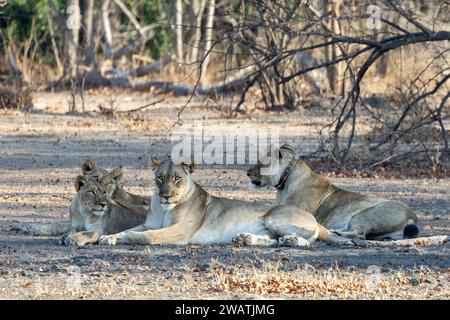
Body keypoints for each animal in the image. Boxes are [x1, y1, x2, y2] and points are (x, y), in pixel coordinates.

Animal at [99, 156, 356, 246]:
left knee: (310, 240)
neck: (164, 209)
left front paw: (128, 238)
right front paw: (108, 237)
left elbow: (148, 236)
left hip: (274, 217)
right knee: (273, 240)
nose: (165, 195)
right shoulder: (149, 223)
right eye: (160, 178)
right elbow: (131, 229)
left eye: (177, 178)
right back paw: (245, 239)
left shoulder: (181, 231)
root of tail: (313, 217)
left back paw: (292, 241)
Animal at [246, 143, 418, 240]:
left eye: (260, 163)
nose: (247, 172)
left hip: (364, 215)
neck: (284, 182)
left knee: (360, 234)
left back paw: (337, 232)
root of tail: (412, 214)